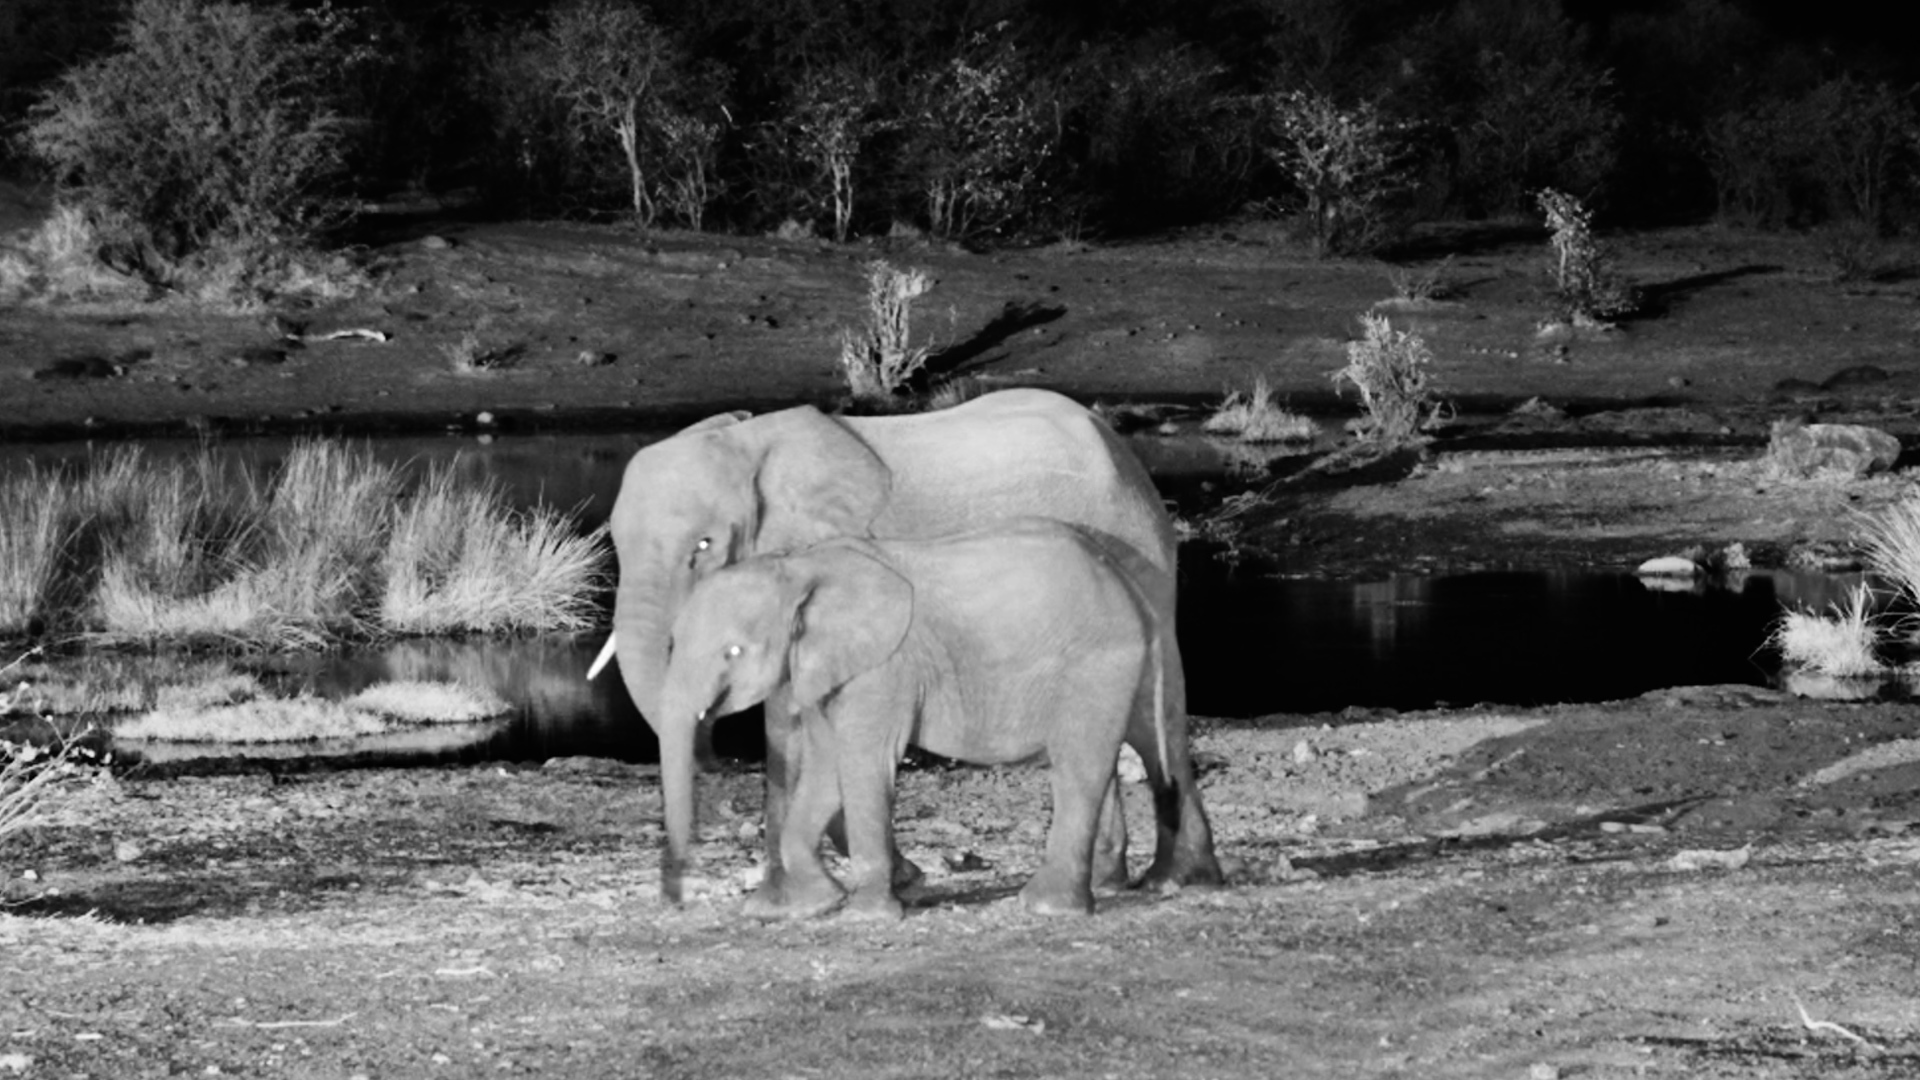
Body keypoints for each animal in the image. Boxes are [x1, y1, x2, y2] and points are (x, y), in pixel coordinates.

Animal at [656, 522, 1173, 918]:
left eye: (734, 652)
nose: (676, 899)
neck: (801, 567)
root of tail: (1132, 586)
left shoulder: (885, 667)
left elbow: (863, 762)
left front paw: (866, 916)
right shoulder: (830, 668)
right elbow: (827, 766)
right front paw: (814, 904)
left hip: (1097, 662)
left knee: (1077, 766)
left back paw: (1047, 906)